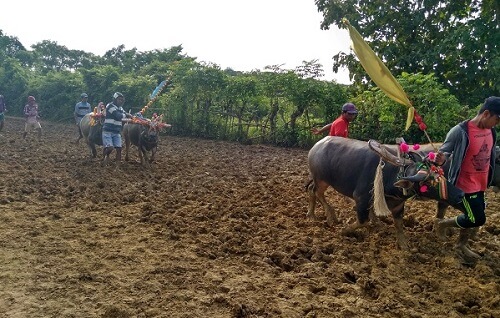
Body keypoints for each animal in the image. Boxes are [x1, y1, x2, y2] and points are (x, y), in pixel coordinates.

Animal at [306, 135, 466, 250]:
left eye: (441, 176)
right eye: (429, 183)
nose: (460, 194)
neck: (392, 174)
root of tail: (317, 145)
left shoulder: (398, 204)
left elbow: (398, 224)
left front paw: (403, 244)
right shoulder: (361, 199)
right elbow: (362, 221)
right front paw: (345, 230)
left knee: (311, 190)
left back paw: (312, 214)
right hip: (321, 179)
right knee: (317, 192)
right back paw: (329, 215)